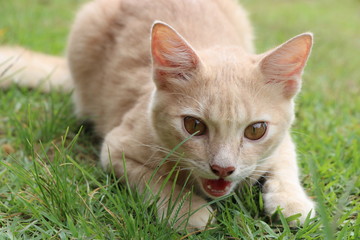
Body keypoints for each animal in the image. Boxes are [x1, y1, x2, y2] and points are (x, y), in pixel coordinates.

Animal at [0, 0, 316, 231]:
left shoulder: (284, 139)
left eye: (256, 130)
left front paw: (294, 203)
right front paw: (187, 210)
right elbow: (152, 179)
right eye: (193, 125)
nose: (223, 169)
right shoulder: (116, 147)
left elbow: (285, 162)